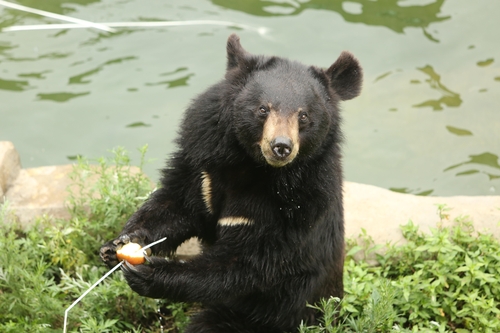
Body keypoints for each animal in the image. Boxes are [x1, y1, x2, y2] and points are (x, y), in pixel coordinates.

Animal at [99, 33, 362, 332]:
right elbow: (178, 204)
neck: (252, 166)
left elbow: (247, 264)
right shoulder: (203, 162)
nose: (281, 147)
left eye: (303, 115)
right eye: (263, 109)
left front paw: (151, 271)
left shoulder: (300, 205)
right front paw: (120, 244)